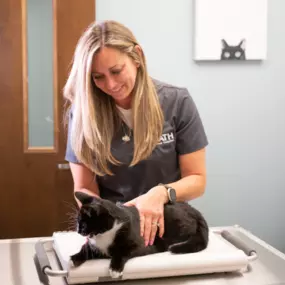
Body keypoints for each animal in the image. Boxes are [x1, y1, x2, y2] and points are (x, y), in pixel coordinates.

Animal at [70, 191, 209, 278]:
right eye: (77, 221)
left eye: (83, 224)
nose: (78, 230)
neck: (104, 235)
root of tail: (194, 210)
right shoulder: (95, 245)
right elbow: (86, 248)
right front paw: (73, 258)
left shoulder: (140, 243)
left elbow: (122, 252)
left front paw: (115, 269)